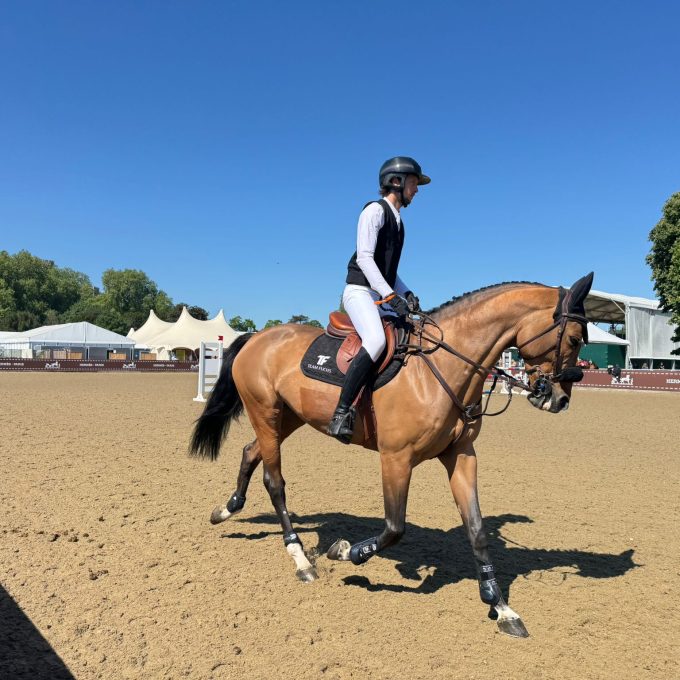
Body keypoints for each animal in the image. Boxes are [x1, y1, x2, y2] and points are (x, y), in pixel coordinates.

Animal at [189, 273, 594, 638]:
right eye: (575, 338)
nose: (559, 400)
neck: (443, 368)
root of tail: (258, 336)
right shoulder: (396, 458)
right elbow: (395, 527)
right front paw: (345, 552)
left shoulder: (461, 455)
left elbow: (477, 529)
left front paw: (501, 606)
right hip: (266, 413)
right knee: (274, 480)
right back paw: (301, 559)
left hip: (286, 418)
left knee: (250, 452)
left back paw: (226, 509)